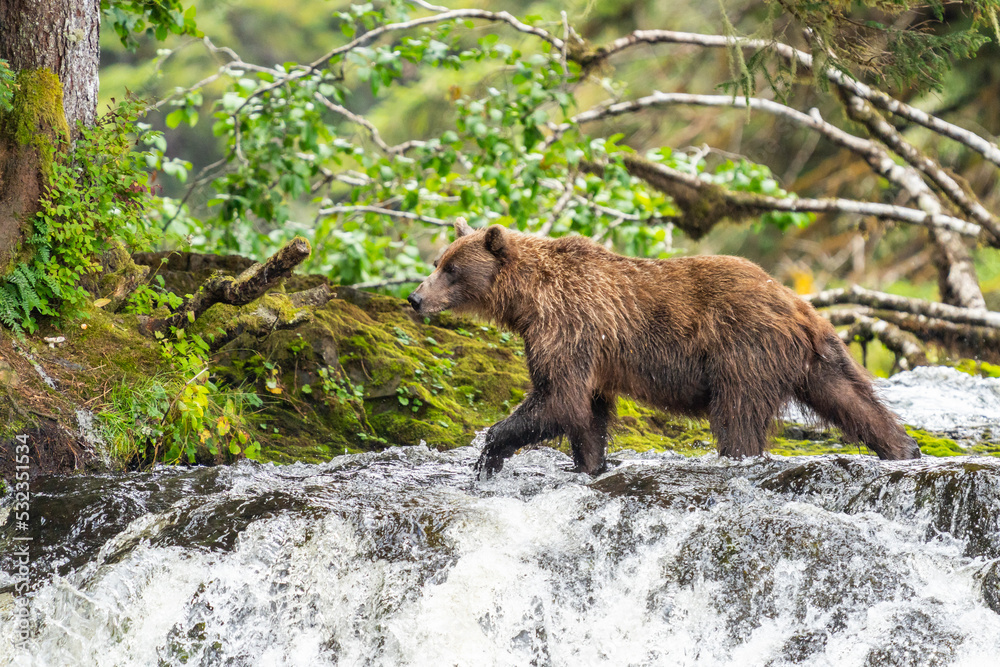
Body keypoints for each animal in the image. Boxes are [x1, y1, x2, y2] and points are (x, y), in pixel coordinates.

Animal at [407, 219, 921, 477]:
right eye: (437, 262)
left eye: (451, 269)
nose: (415, 297)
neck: (527, 302)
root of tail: (796, 304)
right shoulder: (593, 352)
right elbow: (588, 411)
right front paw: (591, 464)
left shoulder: (567, 327)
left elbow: (559, 396)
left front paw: (490, 452)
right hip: (818, 356)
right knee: (852, 398)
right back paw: (903, 448)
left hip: (743, 350)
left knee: (737, 417)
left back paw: (738, 457)